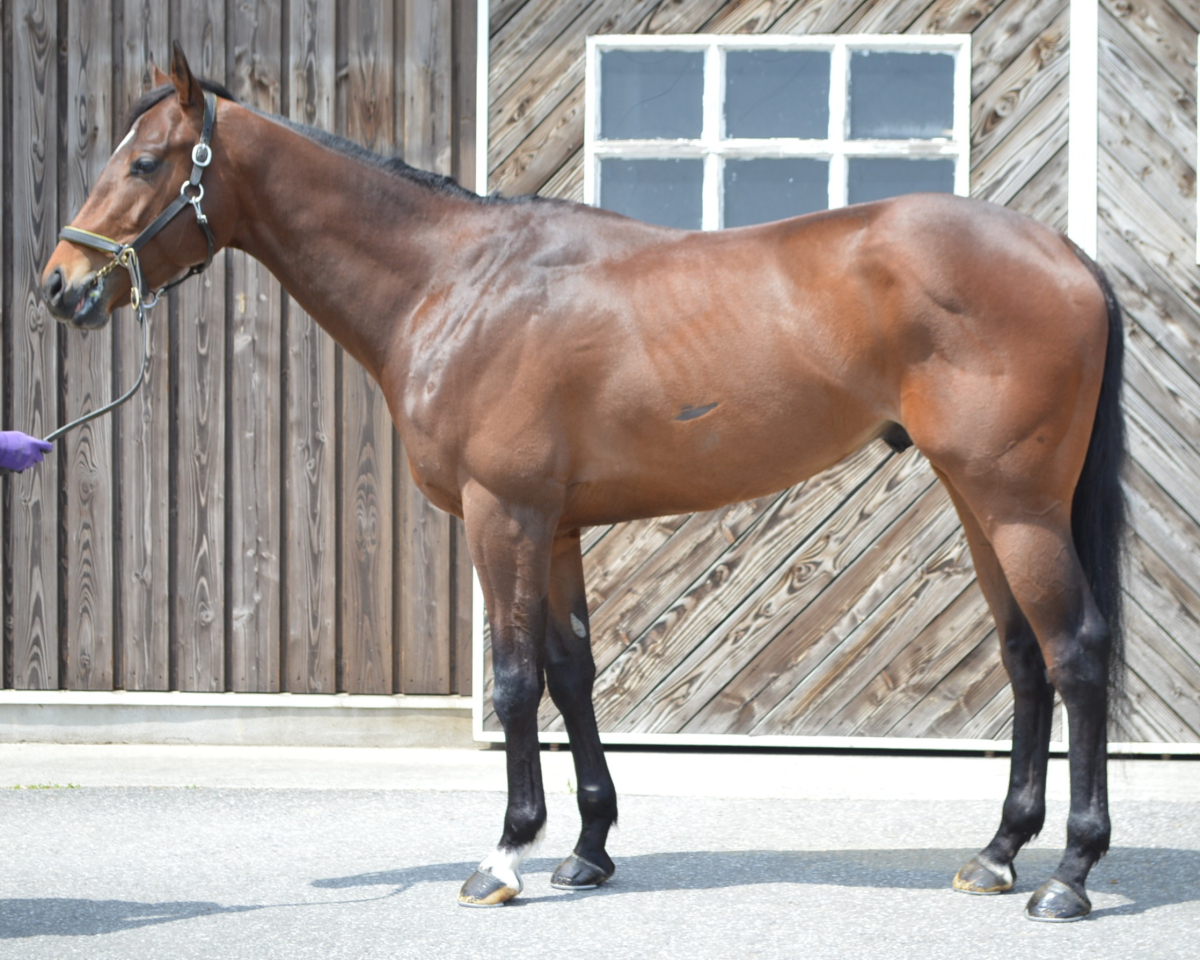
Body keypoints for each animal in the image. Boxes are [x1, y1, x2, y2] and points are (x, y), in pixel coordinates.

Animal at [43, 44, 1126, 922]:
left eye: (144, 163)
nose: (60, 286)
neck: (453, 285)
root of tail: (1065, 254)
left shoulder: (502, 517)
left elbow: (516, 680)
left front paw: (503, 857)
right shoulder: (553, 527)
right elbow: (572, 675)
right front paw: (589, 850)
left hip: (1016, 503)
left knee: (1074, 652)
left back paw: (1070, 876)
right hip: (979, 501)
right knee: (1024, 657)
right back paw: (997, 855)